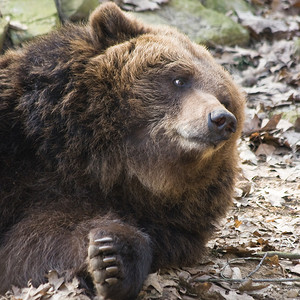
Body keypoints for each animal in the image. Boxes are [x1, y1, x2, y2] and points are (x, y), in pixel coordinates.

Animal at [0, 2, 245, 300]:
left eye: (225, 98)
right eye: (179, 79)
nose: (222, 119)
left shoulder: (156, 218)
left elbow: (35, 245)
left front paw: (112, 258)